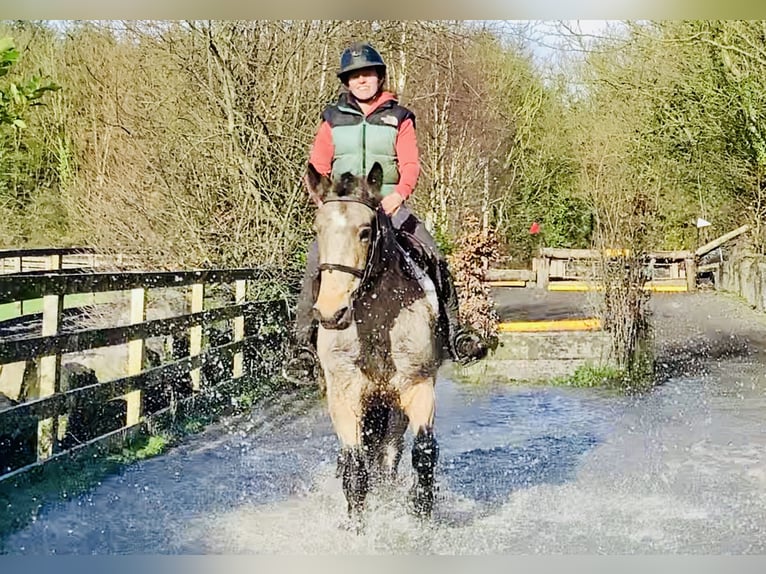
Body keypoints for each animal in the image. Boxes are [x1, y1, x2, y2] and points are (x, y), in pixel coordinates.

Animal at [304, 161, 443, 526]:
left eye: (365, 232)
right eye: (318, 229)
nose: (331, 312)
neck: (378, 323)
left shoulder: (418, 387)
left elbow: (424, 453)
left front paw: (421, 515)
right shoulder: (344, 395)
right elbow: (355, 468)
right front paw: (357, 526)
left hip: (393, 409)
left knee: (389, 454)